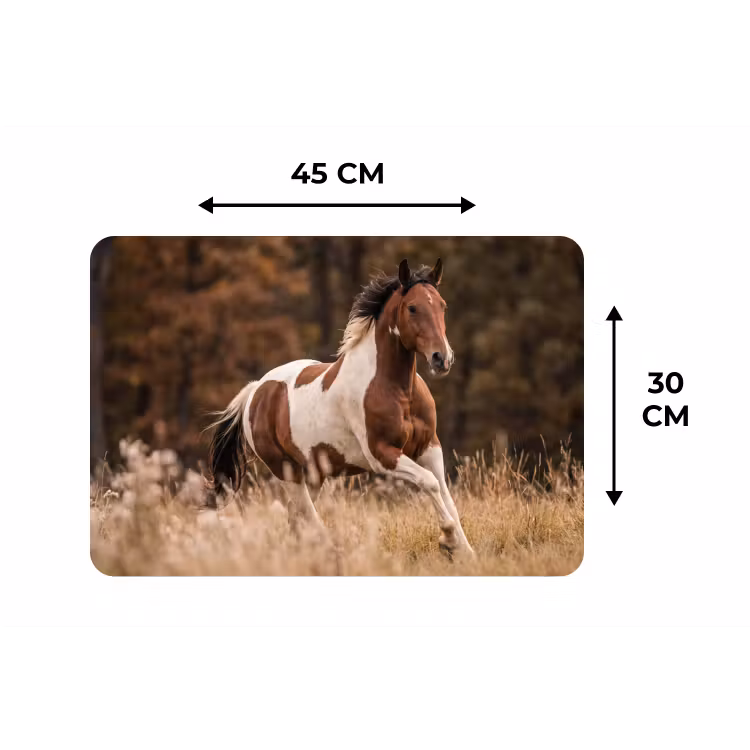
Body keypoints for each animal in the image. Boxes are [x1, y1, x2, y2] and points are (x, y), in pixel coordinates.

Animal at [207, 258, 474, 559]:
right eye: (413, 308)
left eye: (442, 305)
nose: (442, 358)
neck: (397, 390)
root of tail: (255, 390)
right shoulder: (382, 455)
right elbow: (429, 483)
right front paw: (448, 539)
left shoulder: (429, 447)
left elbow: (445, 494)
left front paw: (466, 552)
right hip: (287, 471)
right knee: (307, 517)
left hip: (313, 474)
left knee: (296, 519)